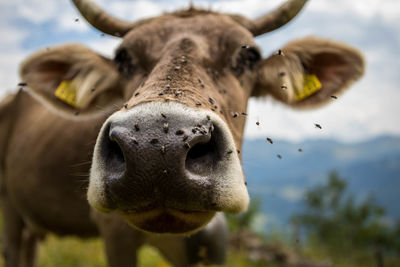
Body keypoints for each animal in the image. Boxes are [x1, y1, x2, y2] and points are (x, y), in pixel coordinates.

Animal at [0, 0, 364, 266]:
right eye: (122, 58)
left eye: (249, 55)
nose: (156, 146)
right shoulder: (116, 237)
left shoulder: (213, 247)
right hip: (9, 211)